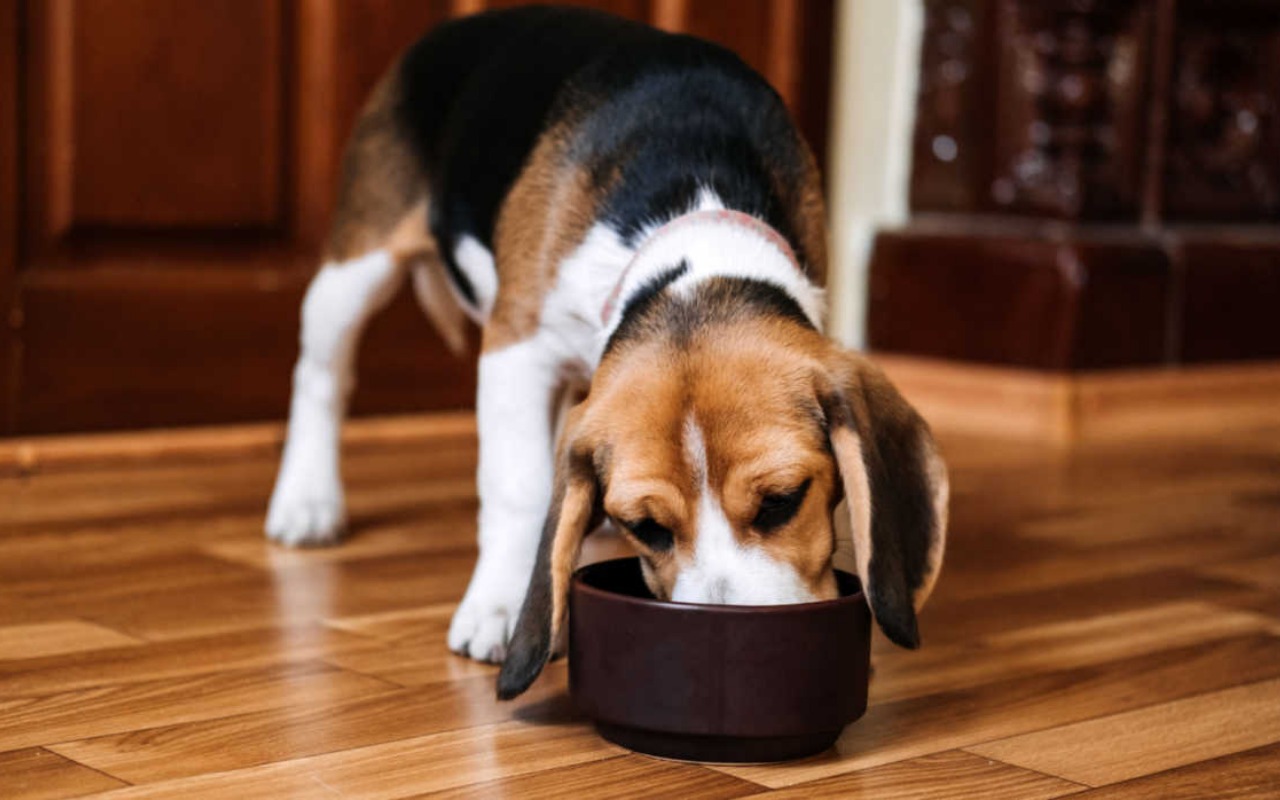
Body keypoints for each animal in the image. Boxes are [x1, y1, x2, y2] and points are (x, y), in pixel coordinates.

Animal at [264, 3, 947, 696]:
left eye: (783, 502)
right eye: (647, 530)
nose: (728, 643)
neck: (693, 227)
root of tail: (458, 26)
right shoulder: (515, 348)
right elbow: (515, 485)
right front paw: (501, 606)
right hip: (356, 268)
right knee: (321, 376)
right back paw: (307, 500)